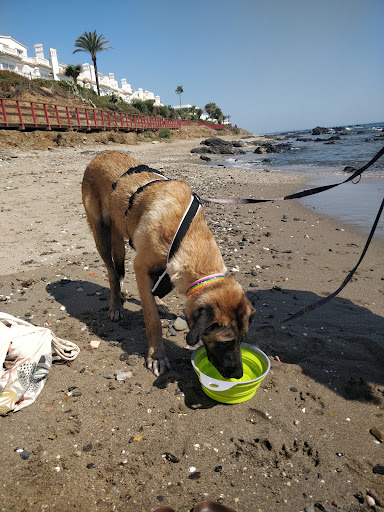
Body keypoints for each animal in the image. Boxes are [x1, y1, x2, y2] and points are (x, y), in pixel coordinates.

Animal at [82, 151, 254, 376]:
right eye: (226, 342)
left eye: (243, 339)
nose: (238, 375)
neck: (187, 236)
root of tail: (101, 154)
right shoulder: (140, 267)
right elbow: (151, 319)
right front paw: (157, 355)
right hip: (101, 233)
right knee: (112, 272)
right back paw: (116, 305)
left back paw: (158, 302)